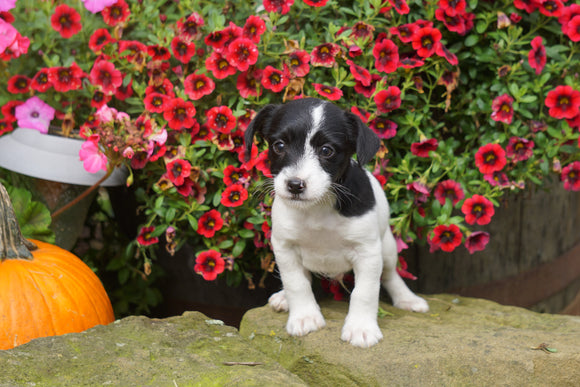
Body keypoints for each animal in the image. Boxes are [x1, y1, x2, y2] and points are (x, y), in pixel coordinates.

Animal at [242, 98, 428, 348]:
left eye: (326, 150)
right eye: (279, 146)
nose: (295, 185)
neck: (318, 208)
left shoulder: (368, 252)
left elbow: (365, 291)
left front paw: (361, 327)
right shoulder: (285, 248)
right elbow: (296, 283)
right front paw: (304, 316)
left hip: (388, 248)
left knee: (391, 275)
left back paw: (407, 299)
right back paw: (284, 298)